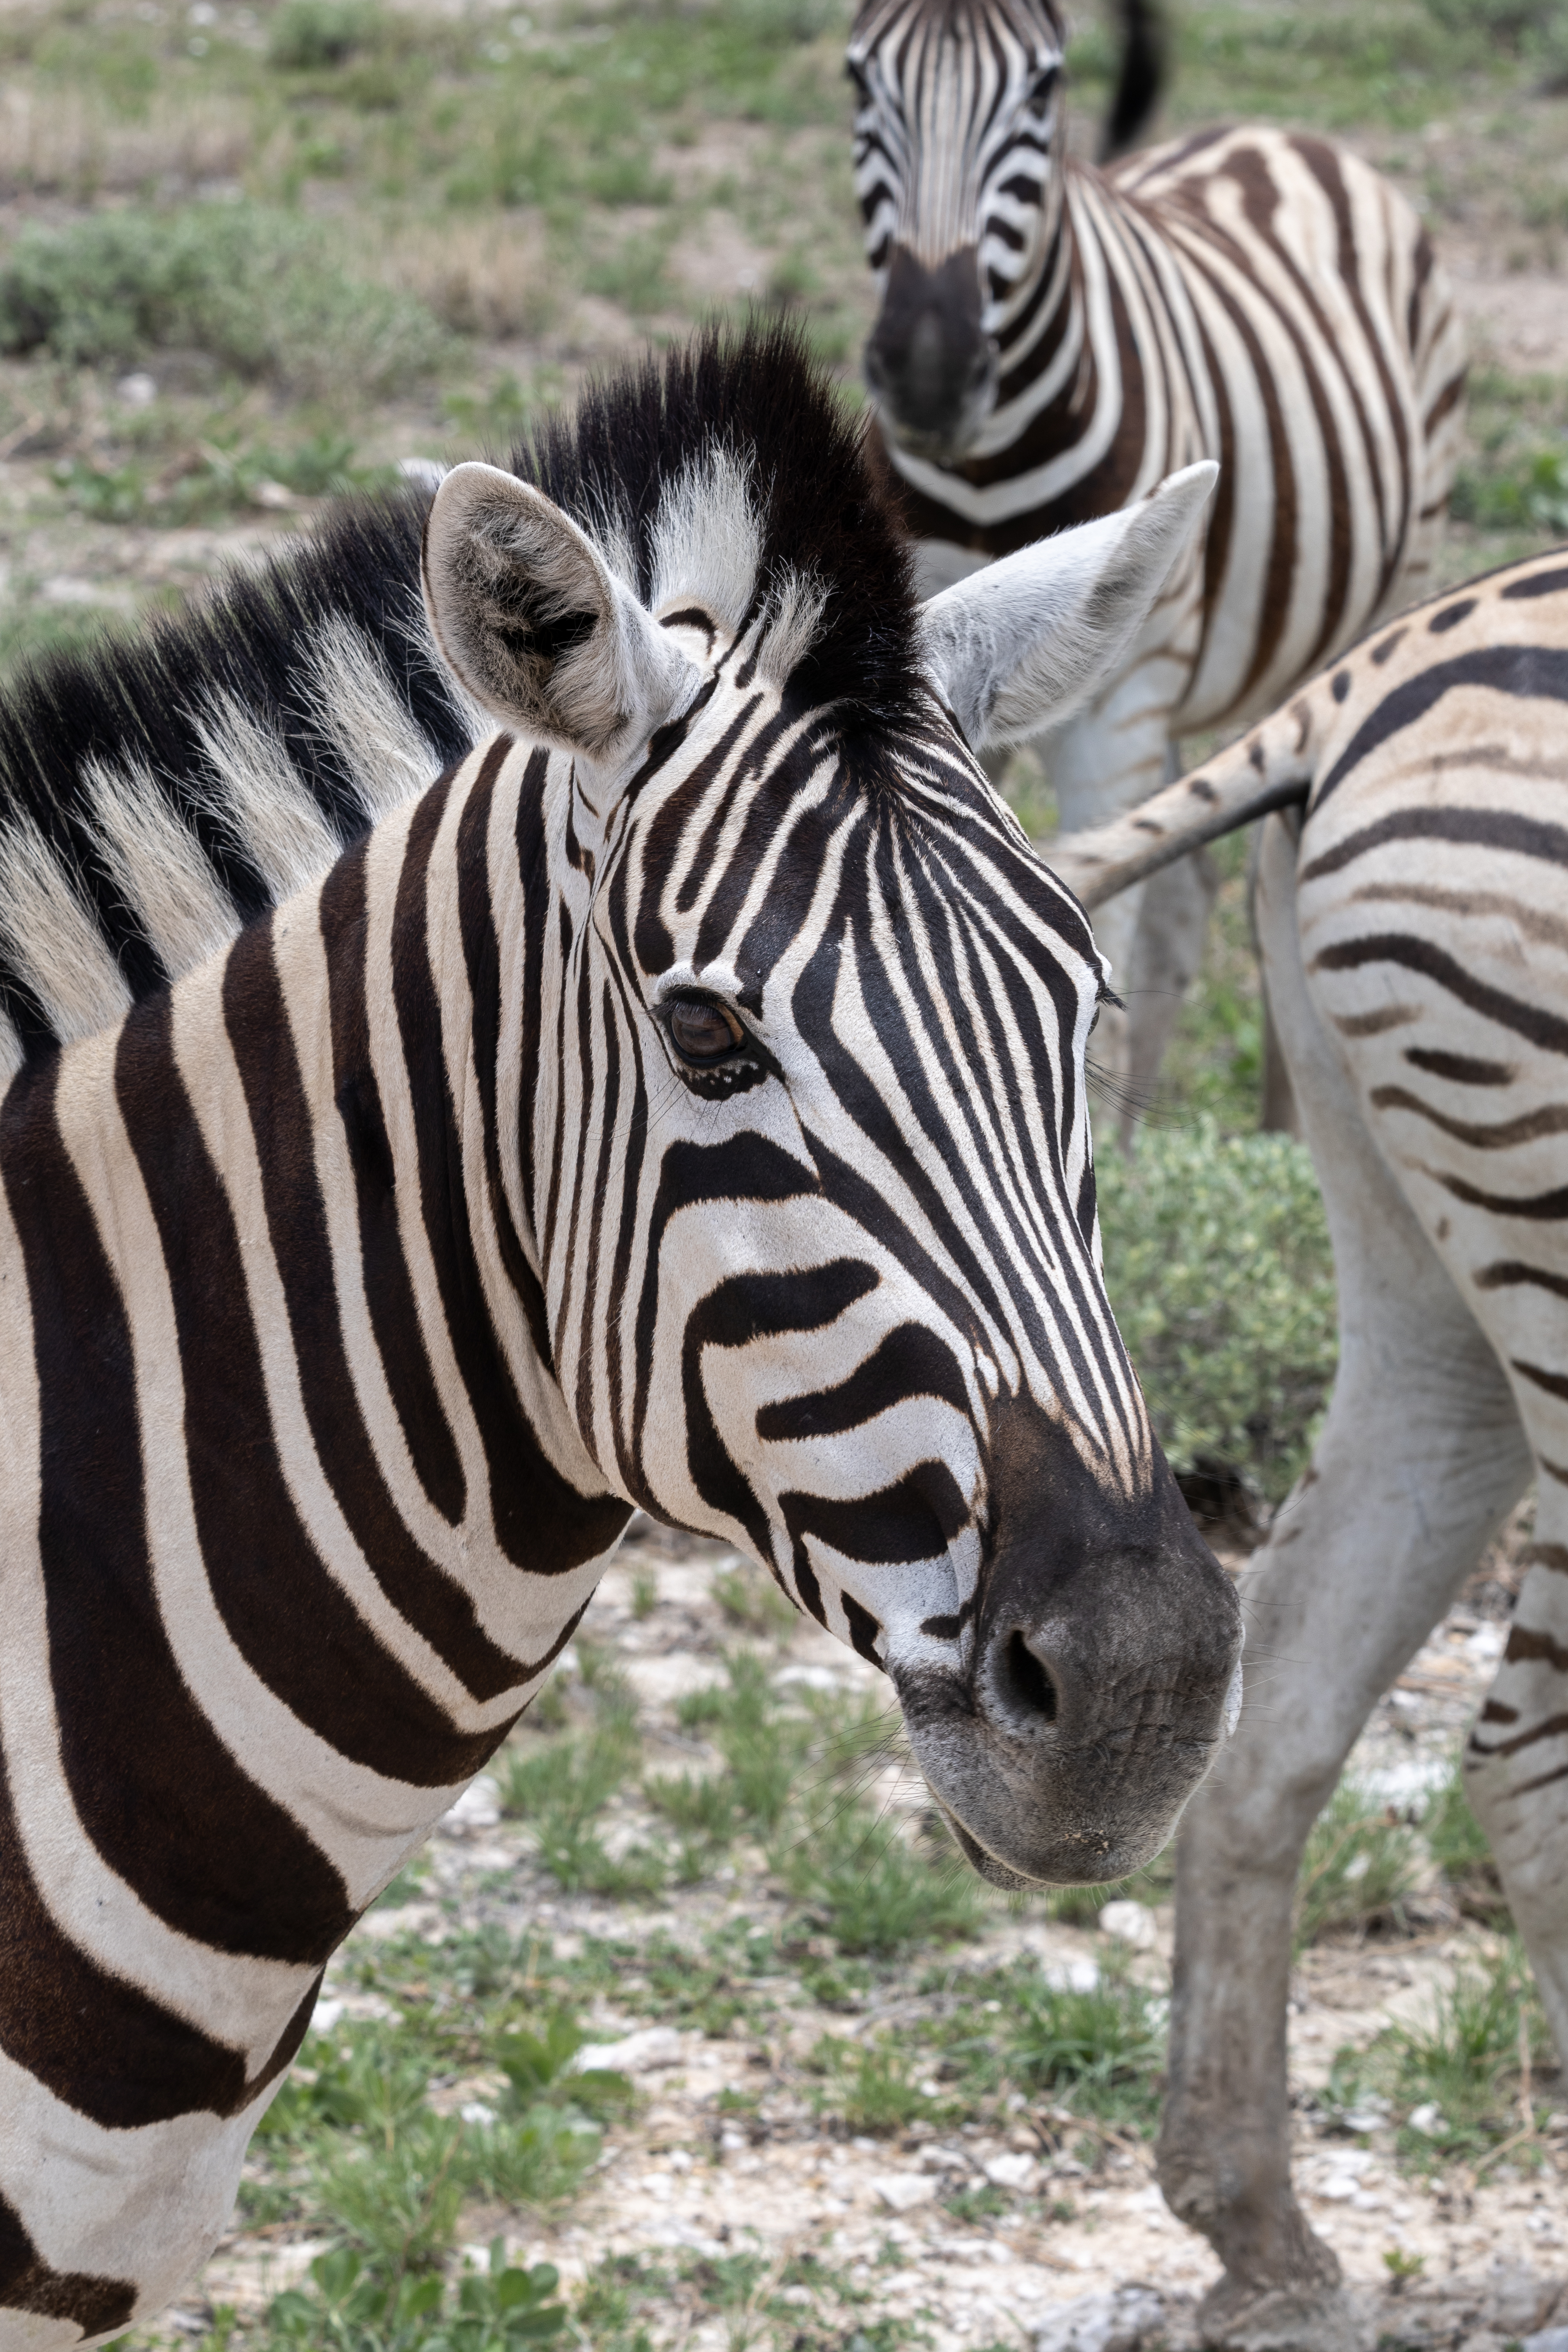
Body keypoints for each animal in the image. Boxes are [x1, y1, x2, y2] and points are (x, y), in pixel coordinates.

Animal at [846, 0, 1476, 1110]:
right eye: (859, 79)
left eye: (1044, 86)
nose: (928, 371)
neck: (988, 468)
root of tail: (1281, 135)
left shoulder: (1115, 713)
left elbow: (1106, 932)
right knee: (1191, 893)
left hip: (1367, 603)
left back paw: (1277, 1121)